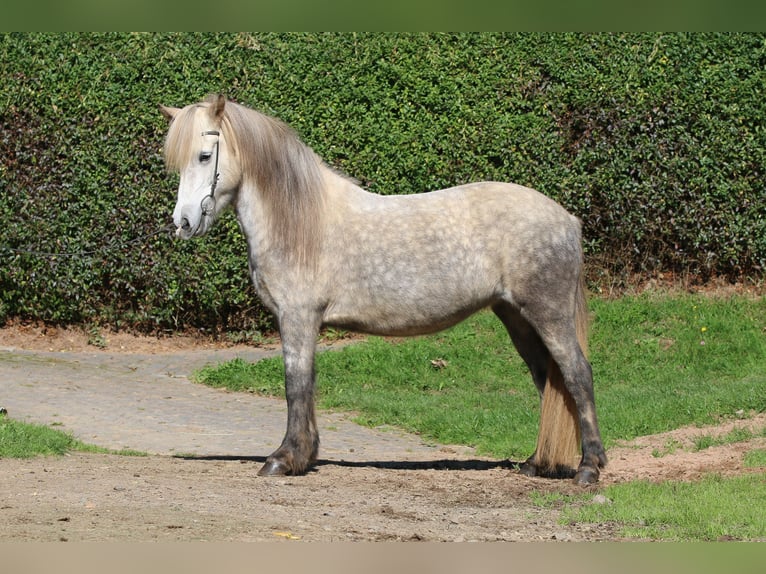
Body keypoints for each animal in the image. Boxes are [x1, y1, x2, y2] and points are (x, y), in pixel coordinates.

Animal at [160, 94, 607, 484]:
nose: (183, 222)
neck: (301, 221)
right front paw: (305, 455)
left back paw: (589, 468)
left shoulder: (298, 318)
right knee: (548, 379)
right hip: (517, 317)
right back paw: (536, 463)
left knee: (577, 374)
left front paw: (284, 459)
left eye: (204, 156)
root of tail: (567, 219)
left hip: (547, 314)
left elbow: (295, 384)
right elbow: (307, 384)